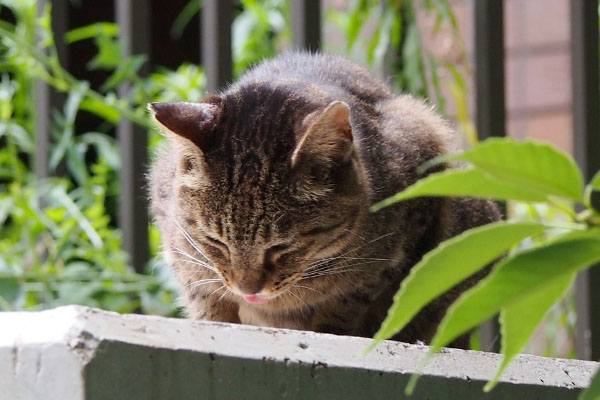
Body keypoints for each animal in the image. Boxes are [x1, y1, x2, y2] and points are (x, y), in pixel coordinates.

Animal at [148, 52, 500, 346]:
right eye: (216, 241)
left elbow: (348, 302)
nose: (248, 290)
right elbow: (207, 301)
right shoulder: (184, 258)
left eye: (281, 247)